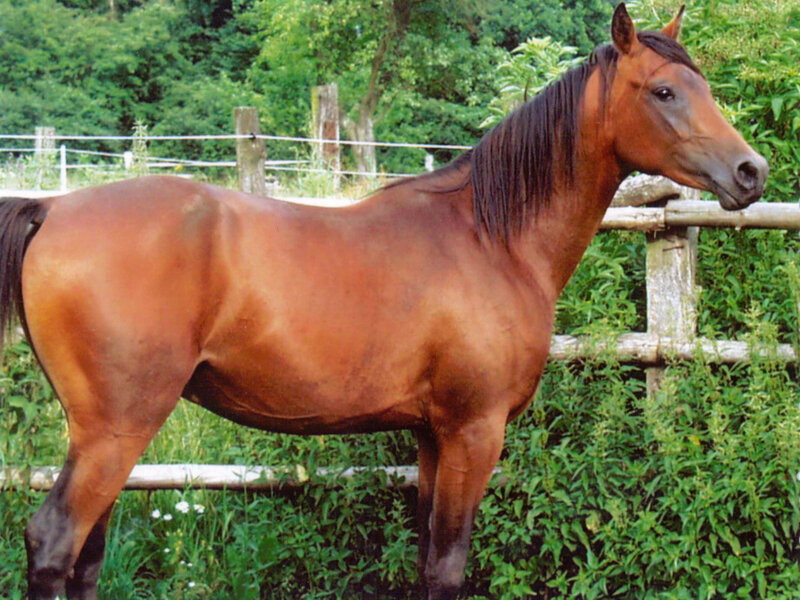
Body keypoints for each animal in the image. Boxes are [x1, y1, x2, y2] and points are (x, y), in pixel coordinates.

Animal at [0, 4, 767, 599]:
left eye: (700, 84)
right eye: (664, 90)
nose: (751, 171)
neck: (490, 237)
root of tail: (52, 209)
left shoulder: (432, 436)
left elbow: (426, 559)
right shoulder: (473, 431)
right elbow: (449, 566)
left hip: (102, 434)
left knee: (86, 558)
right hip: (118, 430)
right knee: (54, 542)